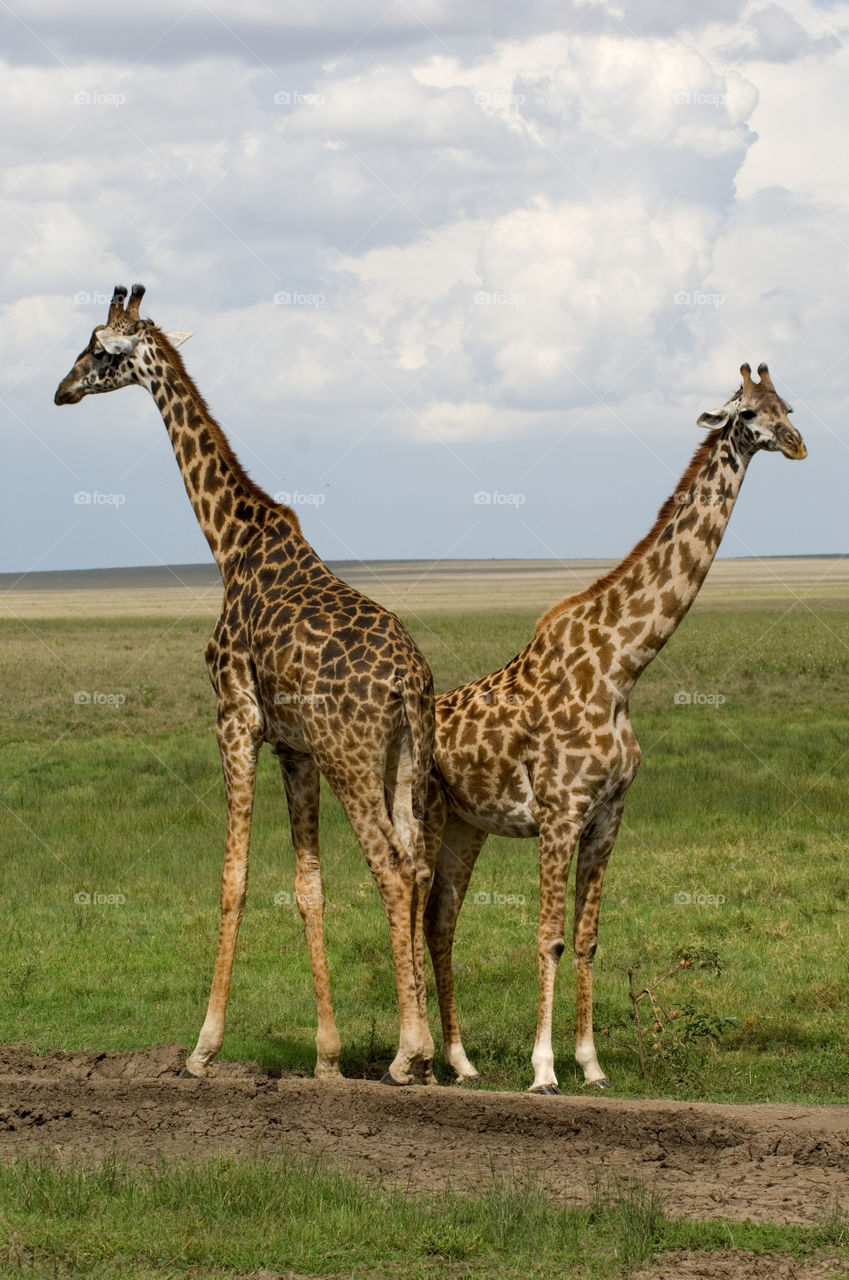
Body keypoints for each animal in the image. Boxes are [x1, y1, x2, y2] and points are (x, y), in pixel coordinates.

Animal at [55, 285, 437, 1085]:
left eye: (99, 348)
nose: (61, 389)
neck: (228, 542)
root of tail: (409, 681)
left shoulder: (234, 717)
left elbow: (232, 877)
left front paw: (202, 1047)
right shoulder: (293, 747)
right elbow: (308, 885)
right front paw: (326, 1057)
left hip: (352, 755)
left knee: (391, 869)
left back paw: (408, 1053)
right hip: (403, 759)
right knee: (418, 864)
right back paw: (422, 1052)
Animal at [427, 366, 809, 1095]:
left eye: (789, 407)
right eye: (748, 413)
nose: (798, 445)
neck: (621, 669)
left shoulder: (607, 816)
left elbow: (586, 937)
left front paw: (591, 1065)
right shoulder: (559, 813)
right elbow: (548, 934)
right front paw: (544, 1071)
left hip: (465, 824)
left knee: (438, 920)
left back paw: (458, 1062)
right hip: (421, 815)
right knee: (405, 910)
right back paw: (413, 1059)